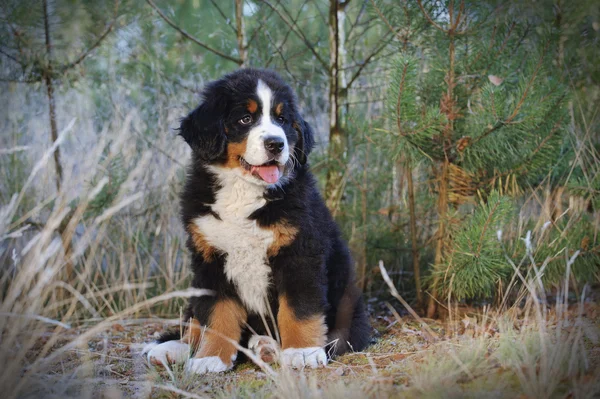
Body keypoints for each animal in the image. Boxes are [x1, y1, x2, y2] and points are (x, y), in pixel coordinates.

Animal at [145, 68, 370, 376]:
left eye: (282, 119)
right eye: (245, 119)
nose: (276, 143)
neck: (243, 191)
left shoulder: (300, 252)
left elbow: (298, 307)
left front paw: (302, 352)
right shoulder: (210, 258)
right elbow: (216, 314)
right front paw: (211, 357)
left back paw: (266, 347)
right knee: (194, 320)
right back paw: (171, 349)